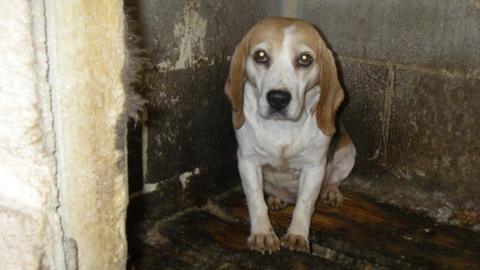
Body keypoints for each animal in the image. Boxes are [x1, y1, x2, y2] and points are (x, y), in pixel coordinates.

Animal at [225, 17, 356, 254]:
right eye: (260, 55)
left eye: (305, 59)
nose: (278, 98)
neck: (281, 127)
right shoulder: (247, 161)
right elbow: (256, 200)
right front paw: (262, 234)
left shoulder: (314, 167)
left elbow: (304, 204)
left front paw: (297, 235)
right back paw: (277, 198)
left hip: (349, 153)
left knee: (333, 180)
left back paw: (331, 192)